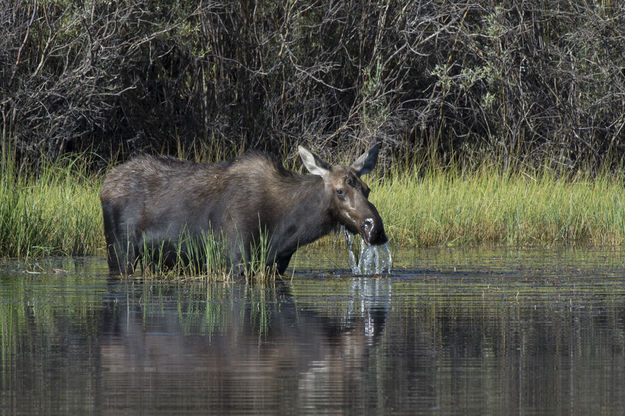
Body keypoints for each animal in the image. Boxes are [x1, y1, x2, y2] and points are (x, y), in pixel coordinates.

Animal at [98, 145, 386, 274]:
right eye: (340, 190)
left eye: (368, 189)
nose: (375, 229)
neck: (290, 228)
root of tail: (104, 186)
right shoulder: (238, 258)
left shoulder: (276, 264)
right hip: (120, 253)